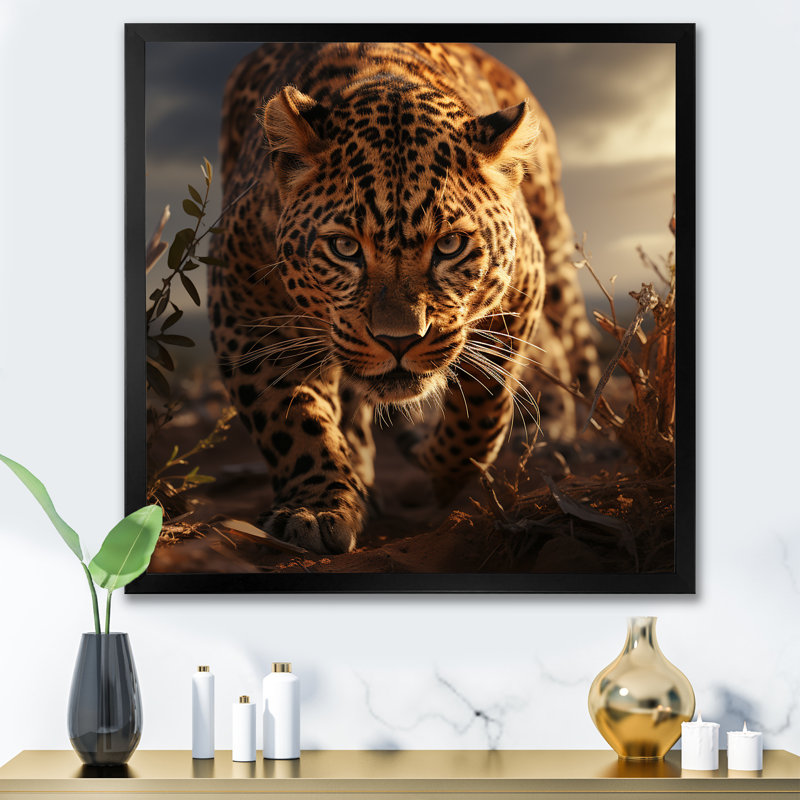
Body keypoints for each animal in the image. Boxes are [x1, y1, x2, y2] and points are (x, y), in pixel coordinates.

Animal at [208, 42, 599, 555]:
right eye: (344, 247)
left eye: (450, 245)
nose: (398, 341)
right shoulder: (245, 305)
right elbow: (291, 419)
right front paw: (317, 505)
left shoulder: (522, 286)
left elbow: (484, 405)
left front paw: (445, 473)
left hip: (554, 248)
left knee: (571, 341)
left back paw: (574, 436)